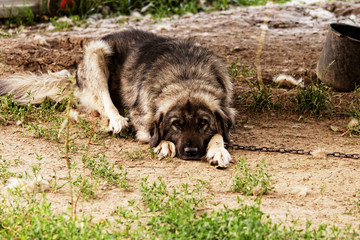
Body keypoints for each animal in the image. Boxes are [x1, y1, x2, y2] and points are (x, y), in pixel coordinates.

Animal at [0, 29, 235, 167]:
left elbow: (220, 133)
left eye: (203, 123)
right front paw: (164, 143)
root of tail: (75, 76)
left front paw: (218, 150)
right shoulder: (143, 116)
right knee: (103, 105)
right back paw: (117, 120)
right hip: (97, 51)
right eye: (176, 124)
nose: (191, 151)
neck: (186, 77)